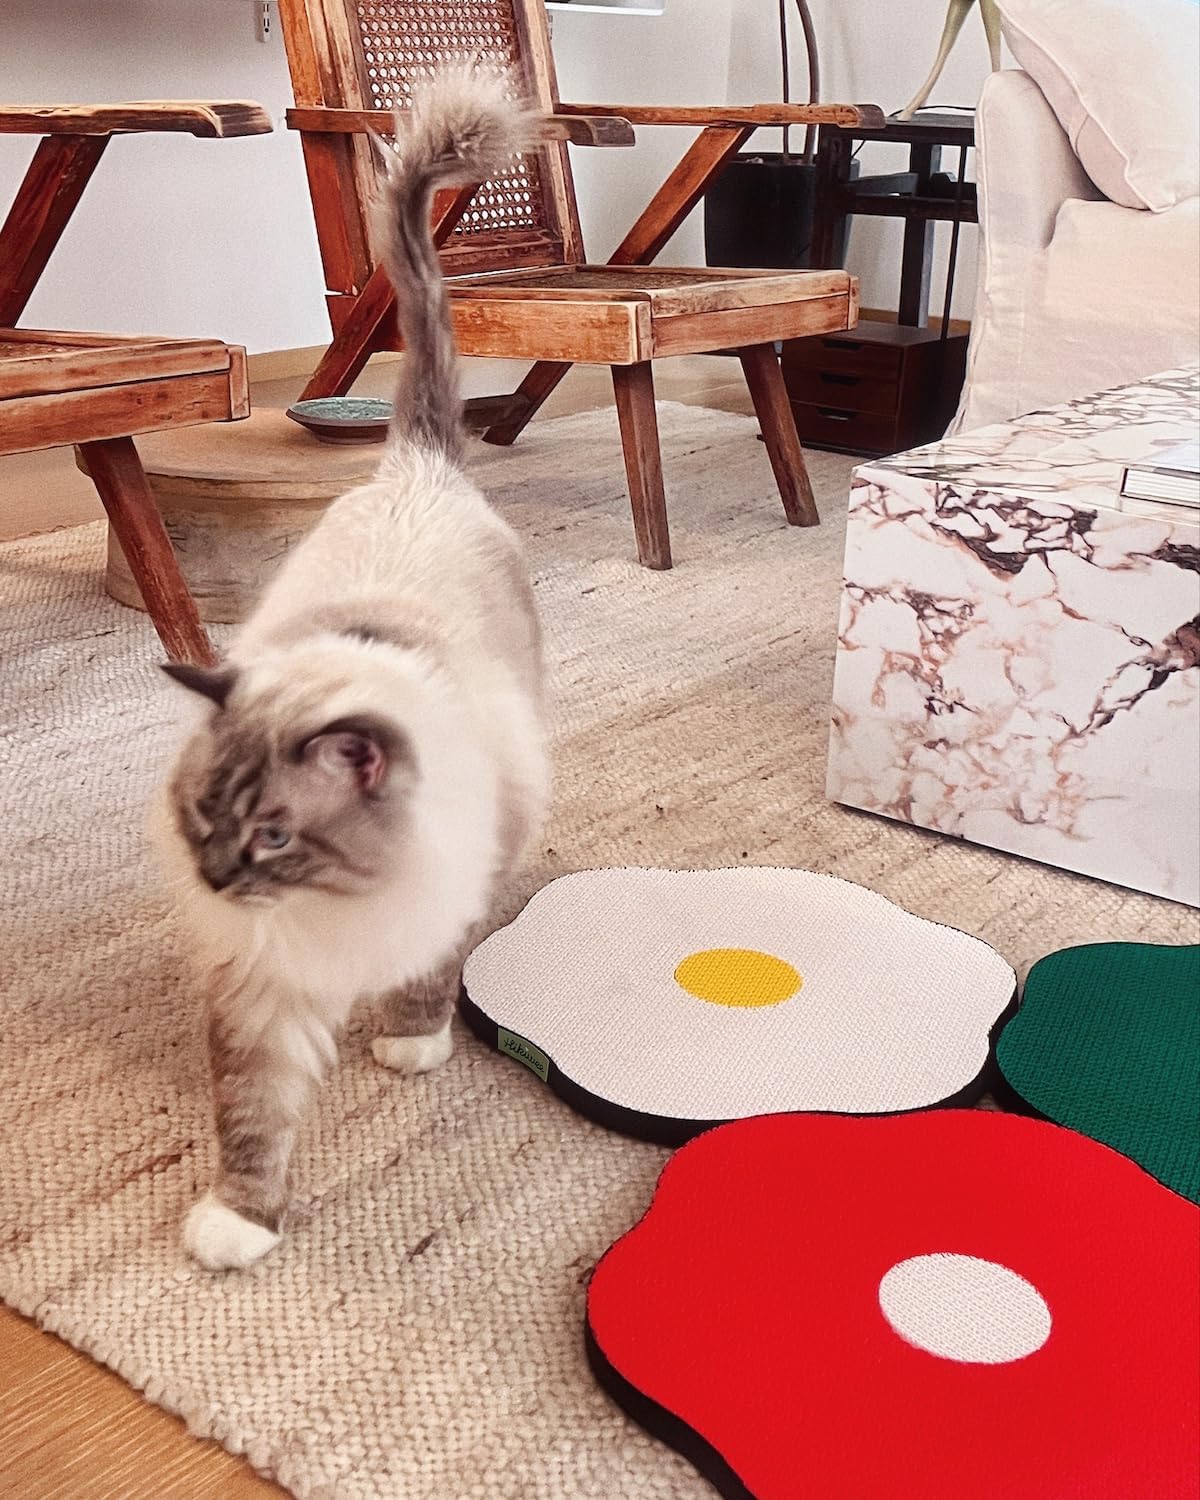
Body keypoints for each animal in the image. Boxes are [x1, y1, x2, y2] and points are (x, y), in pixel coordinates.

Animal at [152, 68, 550, 1271]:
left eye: (275, 837)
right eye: (205, 821)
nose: (218, 879)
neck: (334, 905)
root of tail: (415, 460)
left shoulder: (438, 904)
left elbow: (424, 982)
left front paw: (409, 1045)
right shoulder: (258, 985)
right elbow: (253, 1118)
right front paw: (238, 1226)